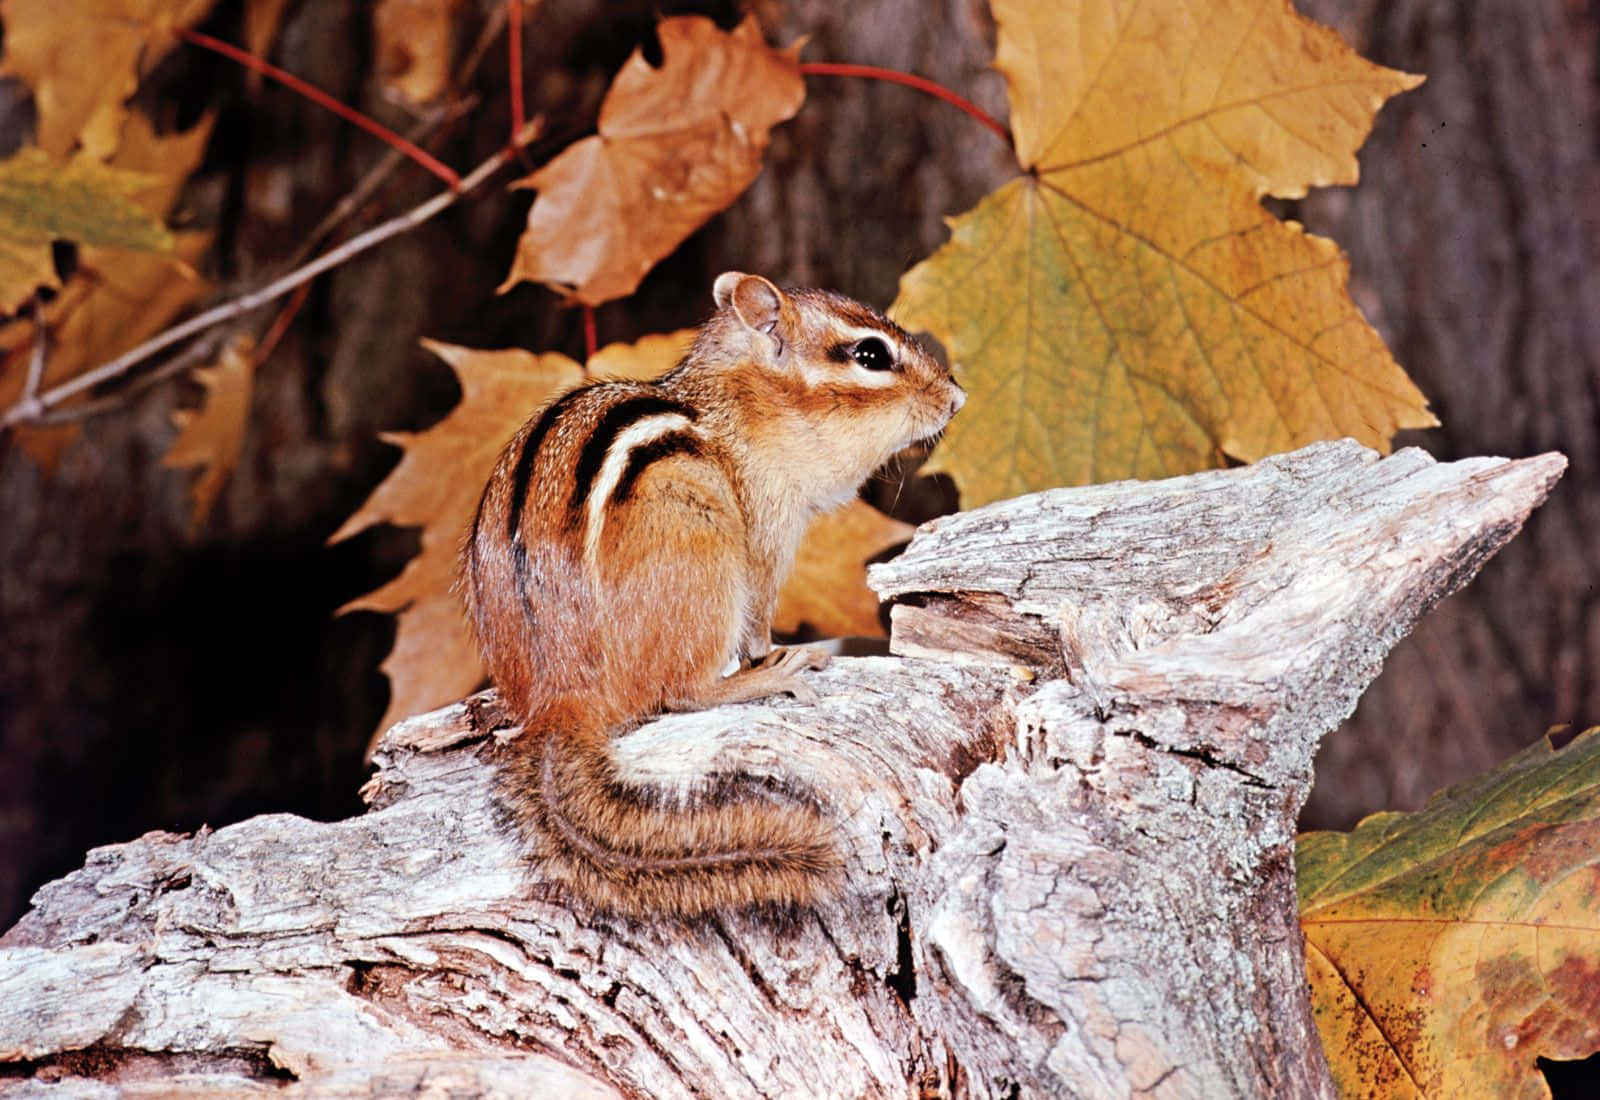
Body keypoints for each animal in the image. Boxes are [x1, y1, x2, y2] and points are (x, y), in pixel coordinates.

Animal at [461, 272, 965, 919]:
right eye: (871, 355)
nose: (956, 397)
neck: (746, 405)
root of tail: (562, 696)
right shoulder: (769, 531)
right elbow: (758, 620)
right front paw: (769, 656)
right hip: (701, 559)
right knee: (682, 692)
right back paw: (768, 677)